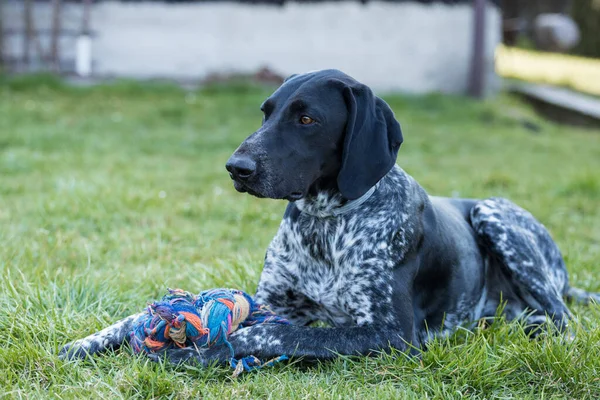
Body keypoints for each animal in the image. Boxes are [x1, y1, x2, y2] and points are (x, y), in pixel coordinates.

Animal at [58, 69, 596, 366]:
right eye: (266, 113)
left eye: (307, 119)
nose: (236, 168)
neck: (326, 225)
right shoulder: (273, 301)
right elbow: (137, 316)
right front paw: (90, 340)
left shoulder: (391, 334)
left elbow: (269, 333)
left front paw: (197, 351)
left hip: (493, 213)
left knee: (563, 319)